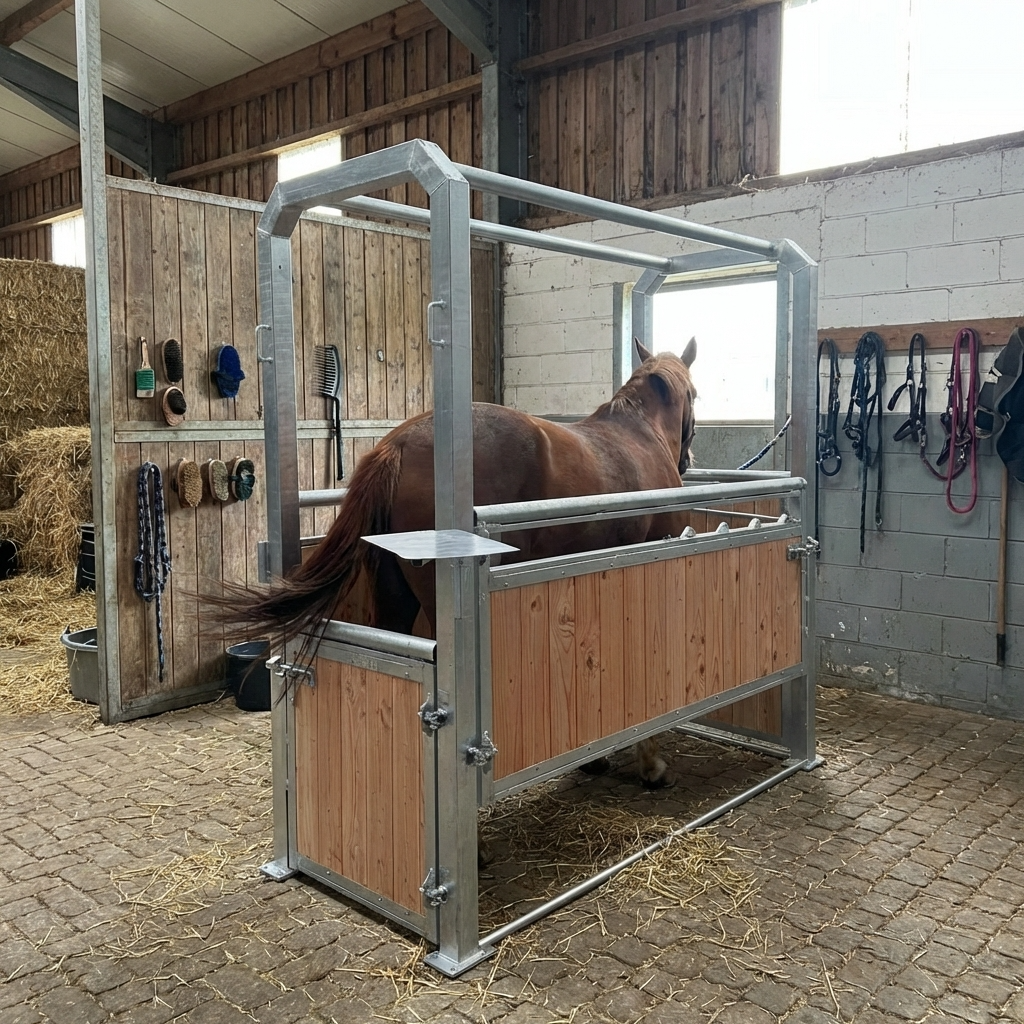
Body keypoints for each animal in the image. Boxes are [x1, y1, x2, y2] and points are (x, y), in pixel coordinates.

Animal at [228, 338, 697, 787]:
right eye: (694, 393)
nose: (688, 460)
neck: (640, 434)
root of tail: (400, 443)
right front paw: (650, 764)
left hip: (394, 598)